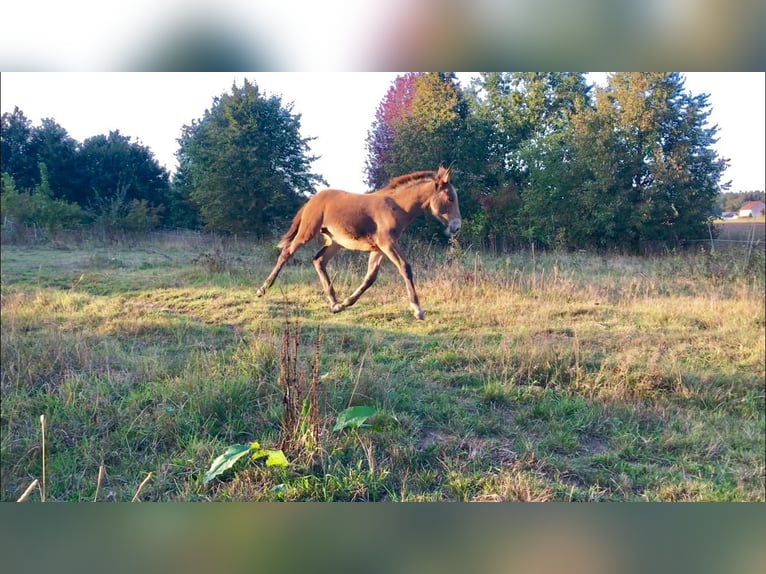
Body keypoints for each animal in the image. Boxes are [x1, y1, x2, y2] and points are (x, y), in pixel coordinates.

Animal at [258, 165, 462, 320]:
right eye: (450, 198)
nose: (456, 226)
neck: (396, 207)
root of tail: (312, 200)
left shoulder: (379, 248)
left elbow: (370, 277)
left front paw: (346, 303)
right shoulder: (387, 244)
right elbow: (405, 267)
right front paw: (417, 310)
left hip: (335, 241)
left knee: (318, 260)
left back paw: (334, 303)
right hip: (307, 232)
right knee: (286, 253)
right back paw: (262, 289)